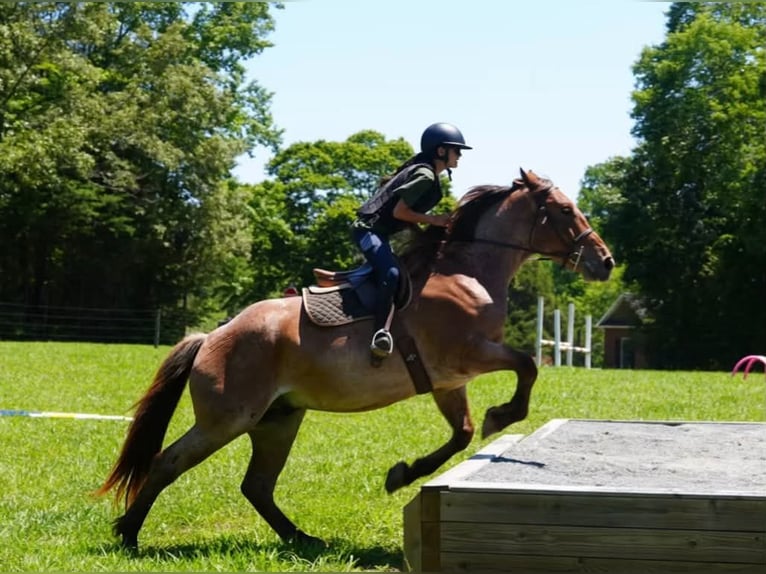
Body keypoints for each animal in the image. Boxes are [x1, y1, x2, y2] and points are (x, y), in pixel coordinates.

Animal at [96, 168, 614, 549]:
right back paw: (129, 535)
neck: (468, 273)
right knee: (167, 463)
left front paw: (403, 474)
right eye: (564, 209)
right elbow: (527, 366)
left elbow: (463, 432)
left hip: (278, 420)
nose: (605, 261)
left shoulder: (448, 380)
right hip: (227, 419)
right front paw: (501, 416)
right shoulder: (471, 354)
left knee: (257, 485)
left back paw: (302, 539)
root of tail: (213, 335)